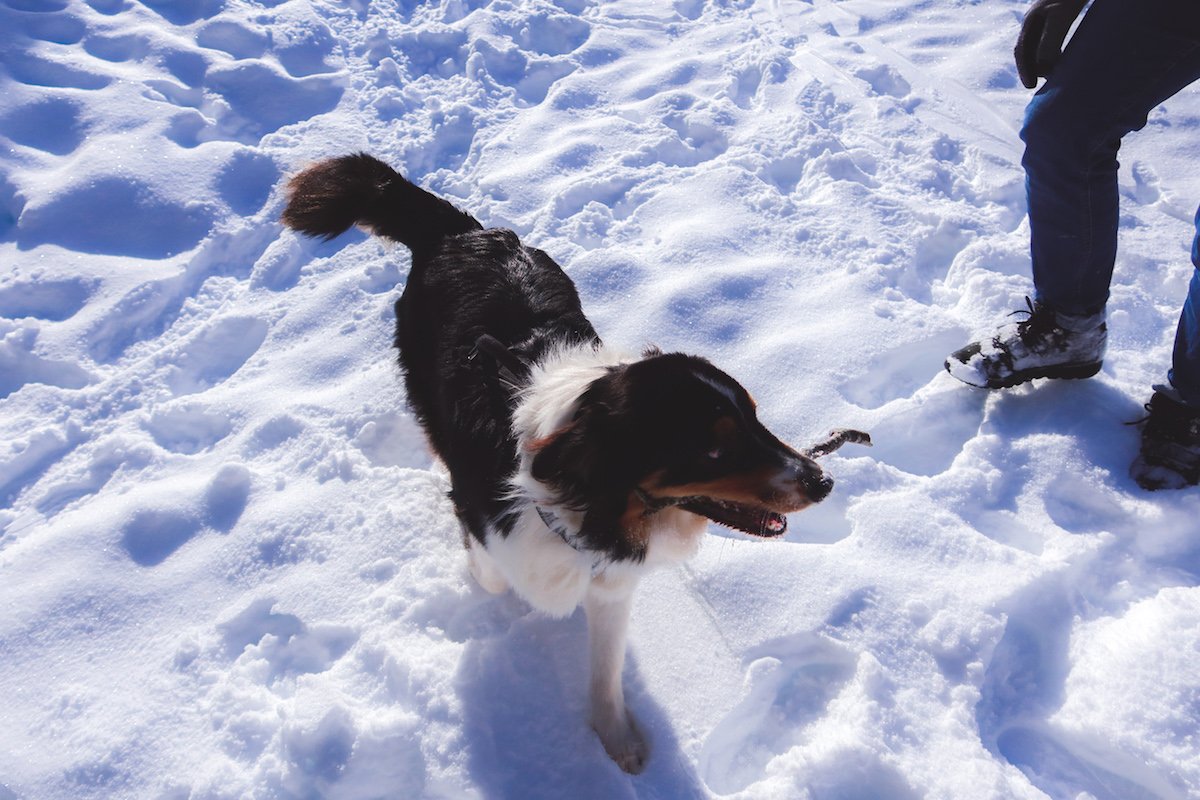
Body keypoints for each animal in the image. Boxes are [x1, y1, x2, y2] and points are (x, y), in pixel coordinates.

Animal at [278, 153, 835, 772]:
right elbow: (494, 573)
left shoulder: (612, 586)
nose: (823, 481)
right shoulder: (494, 525)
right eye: (713, 449)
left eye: (757, 419)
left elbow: (605, 672)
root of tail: (462, 232)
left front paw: (617, 739)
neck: (588, 508)